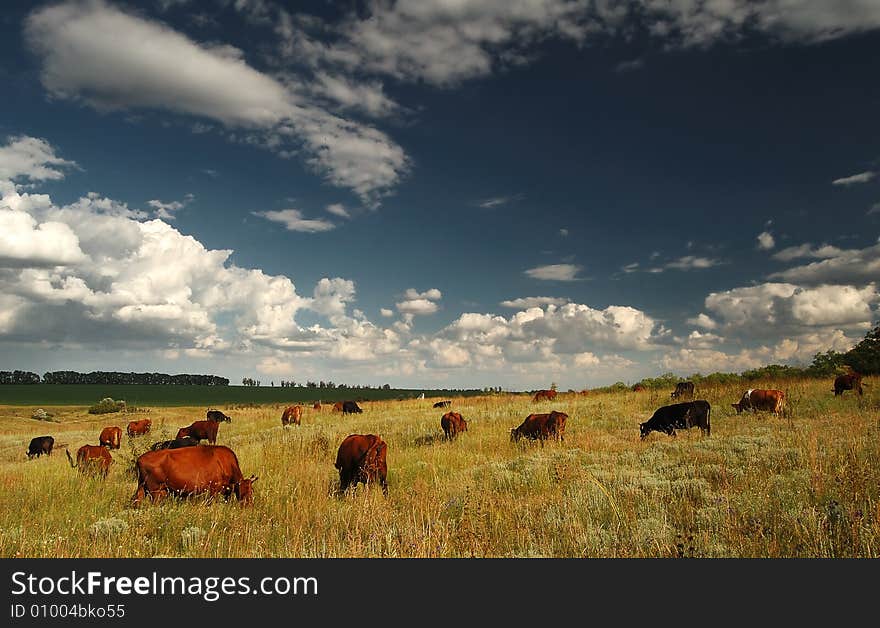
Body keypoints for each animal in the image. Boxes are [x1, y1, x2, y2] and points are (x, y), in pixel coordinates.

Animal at [130, 444, 258, 508]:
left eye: (252, 491)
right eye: (244, 491)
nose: (249, 506)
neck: (224, 463)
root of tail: (140, 458)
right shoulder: (213, 490)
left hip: (143, 488)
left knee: (136, 500)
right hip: (155, 491)